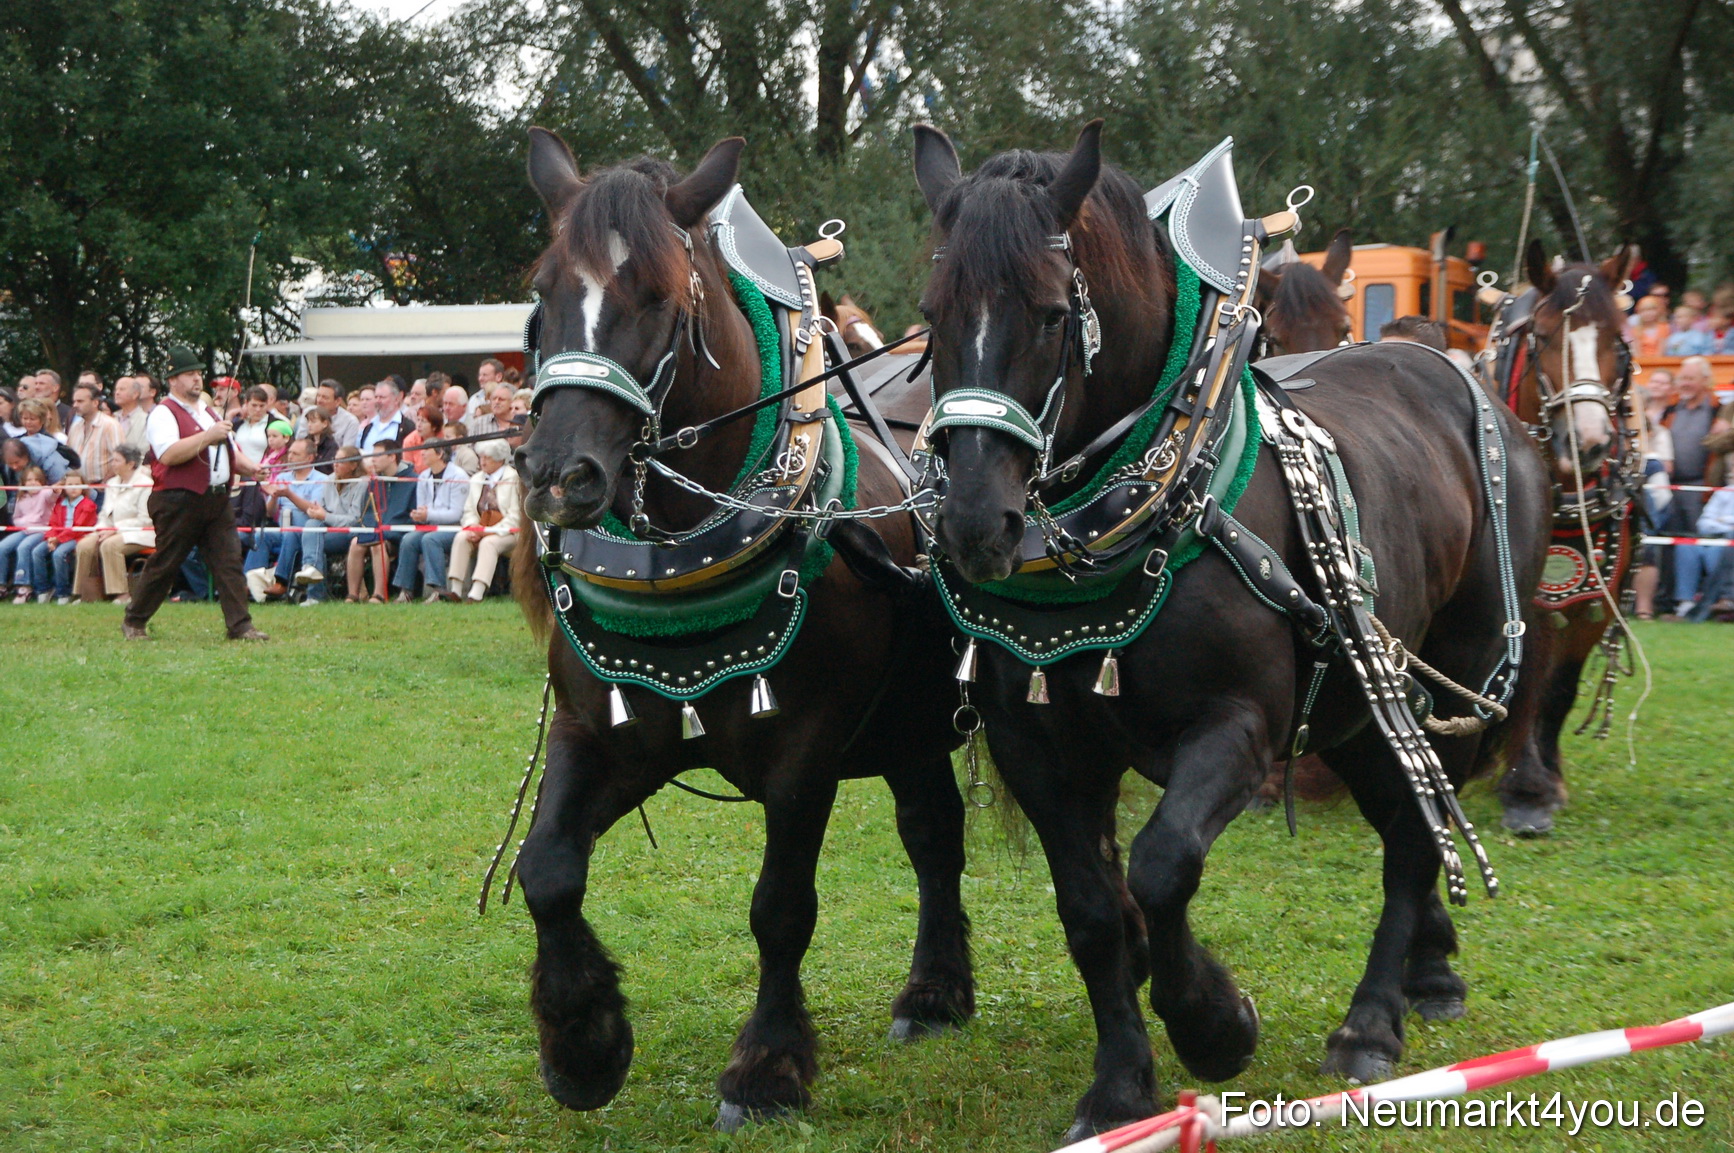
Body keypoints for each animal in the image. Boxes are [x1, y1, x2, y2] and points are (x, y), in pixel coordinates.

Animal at [506, 127, 973, 1129]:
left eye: (659, 296)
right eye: (542, 292)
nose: (559, 476)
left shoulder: (806, 753)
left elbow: (780, 907)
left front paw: (766, 1068)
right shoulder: (604, 731)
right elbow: (548, 867)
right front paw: (583, 1042)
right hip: (912, 720)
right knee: (933, 831)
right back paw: (934, 993)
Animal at [1484, 240, 1638, 835]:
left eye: (1617, 340)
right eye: (1546, 337)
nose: (1589, 443)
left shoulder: (1600, 594)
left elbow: (1562, 687)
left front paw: (1546, 770)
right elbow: (1526, 673)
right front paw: (1525, 787)